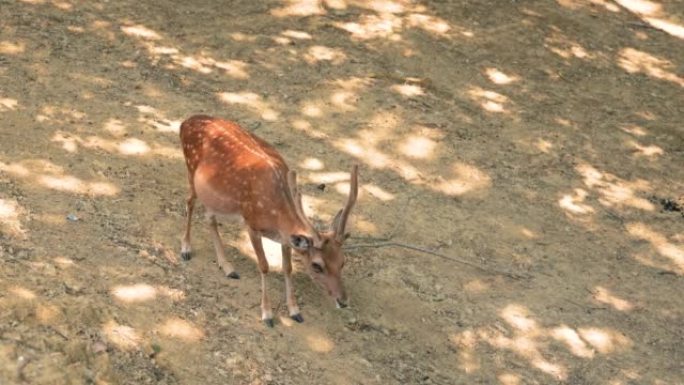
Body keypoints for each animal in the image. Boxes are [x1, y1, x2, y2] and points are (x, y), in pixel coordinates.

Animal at [179, 115, 358, 328]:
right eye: (317, 265)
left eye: (343, 261)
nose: (344, 301)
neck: (276, 214)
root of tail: (185, 122)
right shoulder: (251, 224)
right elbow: (264, 266)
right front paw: (267, 314)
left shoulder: (285, 238)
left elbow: (287, 268)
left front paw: (295, 311)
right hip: (191, 171)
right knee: (189, 203)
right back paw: (186, 249)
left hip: (212, 194)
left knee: (209, 217)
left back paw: (228, 267)